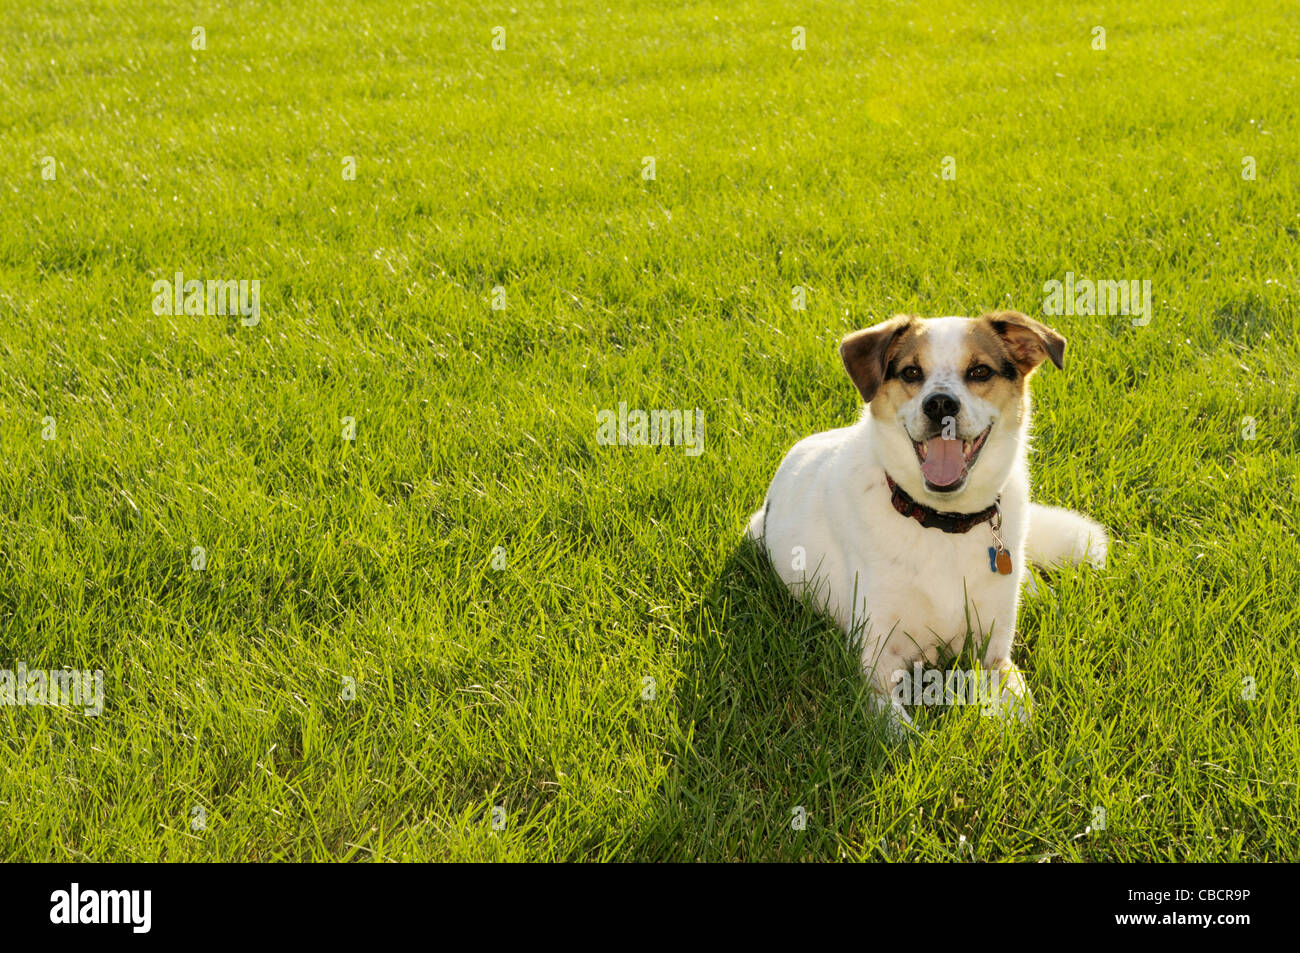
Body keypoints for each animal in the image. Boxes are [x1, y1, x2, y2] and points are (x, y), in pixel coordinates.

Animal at [748, 310, 1102, 728]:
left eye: (980, 371)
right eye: (911, 372)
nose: (940, 404)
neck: (944, 521)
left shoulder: (995, 654)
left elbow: (1022, 710)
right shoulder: (876, 664)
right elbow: (897, 730)